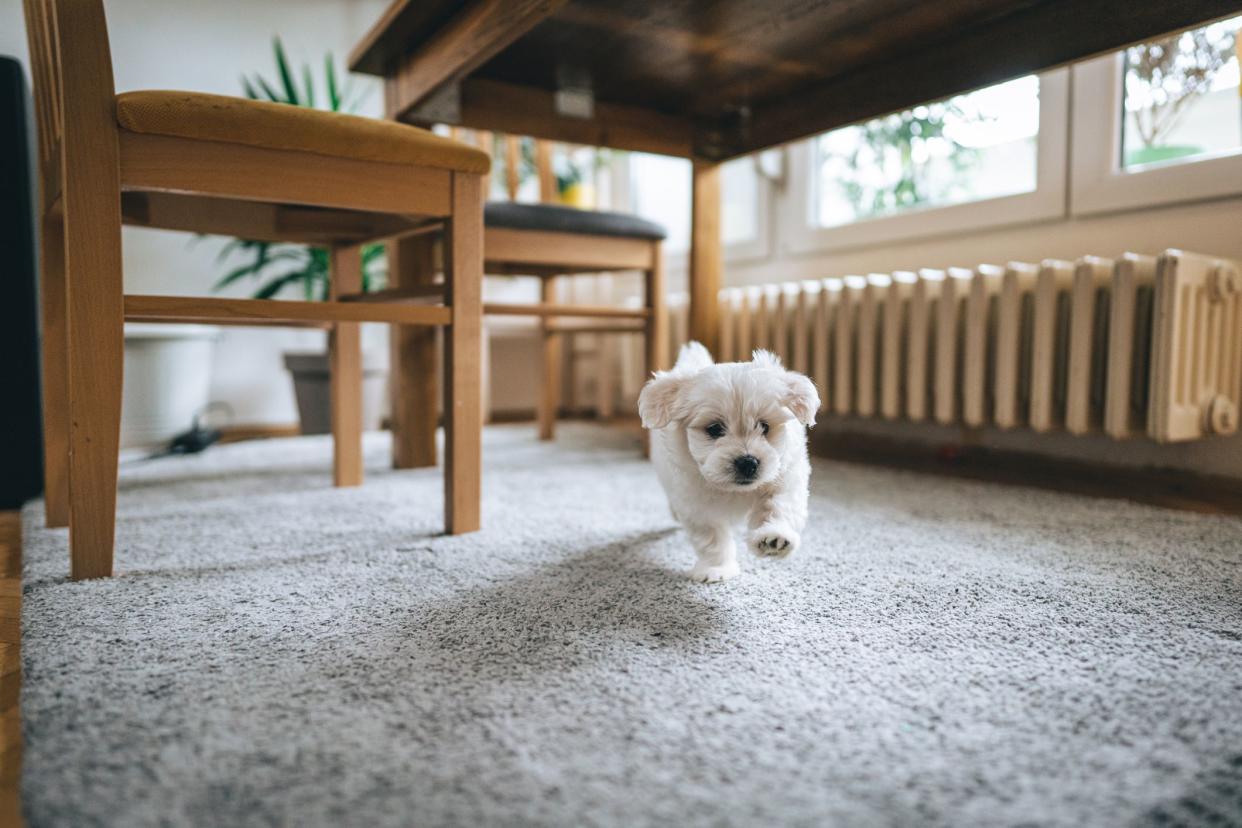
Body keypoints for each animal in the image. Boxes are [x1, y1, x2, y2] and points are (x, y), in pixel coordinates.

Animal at [640, 342, 824, 583]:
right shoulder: (697, 503)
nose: (748, 462)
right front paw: (715, 568)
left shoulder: (785, 477)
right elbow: (711, 538)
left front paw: (774, 537)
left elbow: (778, 506)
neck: (735, 490)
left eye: (764, 426)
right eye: (715, 429)